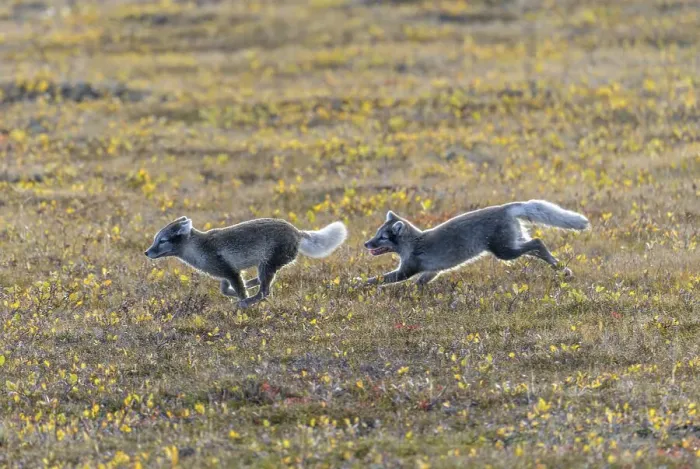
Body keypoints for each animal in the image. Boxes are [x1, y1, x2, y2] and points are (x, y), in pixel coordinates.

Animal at [145, 216, 347, 308]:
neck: (198, 248)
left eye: (162, 241)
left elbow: (239, 291)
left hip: (266, 264)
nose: (146, 252)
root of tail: (297, 232)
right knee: (264, 283)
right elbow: (225, 289)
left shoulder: (230, 272)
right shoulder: (227, 273)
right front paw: (236, 292)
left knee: (265, 292)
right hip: (266, 266)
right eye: (155, 239)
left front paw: (241, 302)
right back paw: (251, 285)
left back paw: (246, 302)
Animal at [361, 200, 589, 286]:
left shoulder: (407, 269)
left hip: (504, 252)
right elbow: (420, 283)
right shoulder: (432, 270)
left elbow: (381, 279)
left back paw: (561, 268)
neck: (414, 242)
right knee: (536, 247)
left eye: (382, 237)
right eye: (376, 233)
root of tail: (505, 207)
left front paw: (359, 284)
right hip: (513, 243)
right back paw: (562, 268)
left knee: (538, 242)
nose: (366, 244)